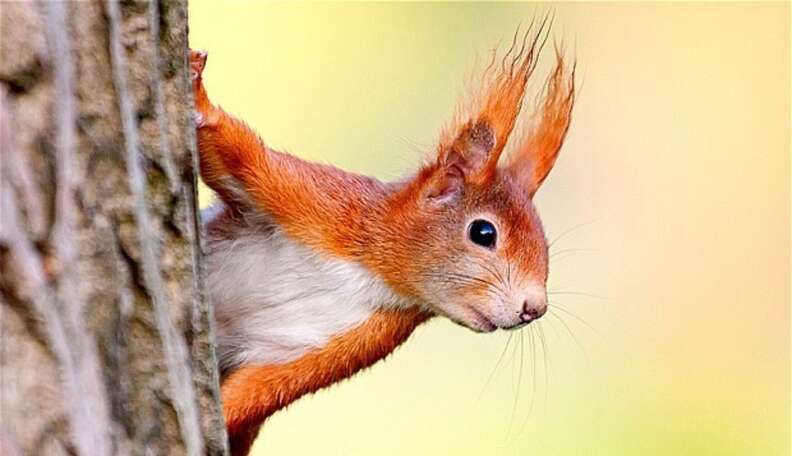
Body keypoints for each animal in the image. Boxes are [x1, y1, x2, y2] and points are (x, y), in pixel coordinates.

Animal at [192, 23, 576, 454]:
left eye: (545, 247)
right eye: (483, 232)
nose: (534, 307)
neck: (373, 272)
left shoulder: (348, 342)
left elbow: (258, 391)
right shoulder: (317, 203)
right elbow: (239, 158)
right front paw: (198, 94)